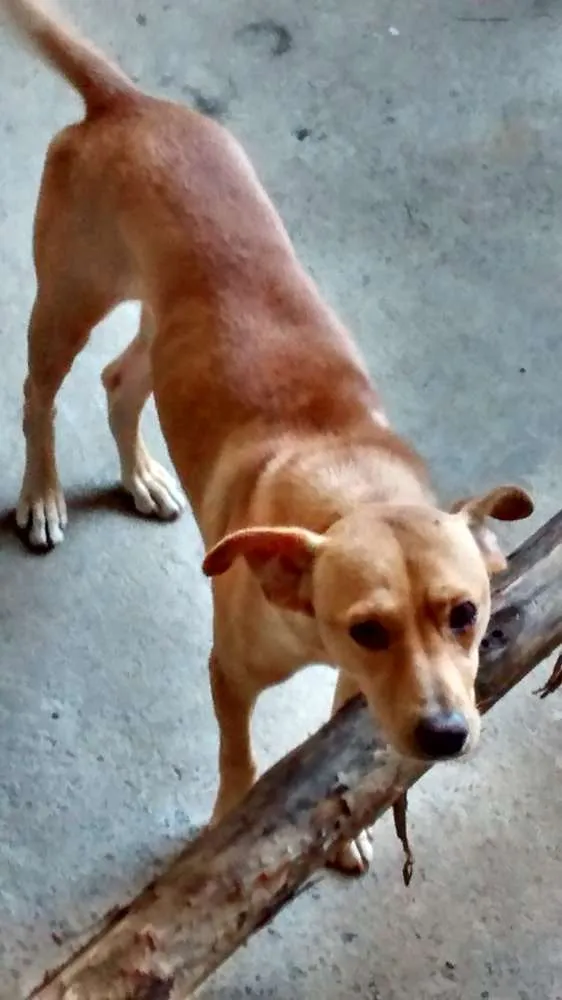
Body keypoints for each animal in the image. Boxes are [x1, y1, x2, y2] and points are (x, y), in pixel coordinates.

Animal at [3, 0, 528, 872]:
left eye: (464, 613)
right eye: (368, 628)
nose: (445, 736)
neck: (351, 487)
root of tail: (125, 103)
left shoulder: (351, 686)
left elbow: (334, 728)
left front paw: (344, 827)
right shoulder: (230, 674)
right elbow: (240, 760)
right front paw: (229, 823)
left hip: (159, 323)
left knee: (119, 381)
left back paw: (142, 477)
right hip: (70, 297)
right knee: (38, 395)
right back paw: (41, 497)